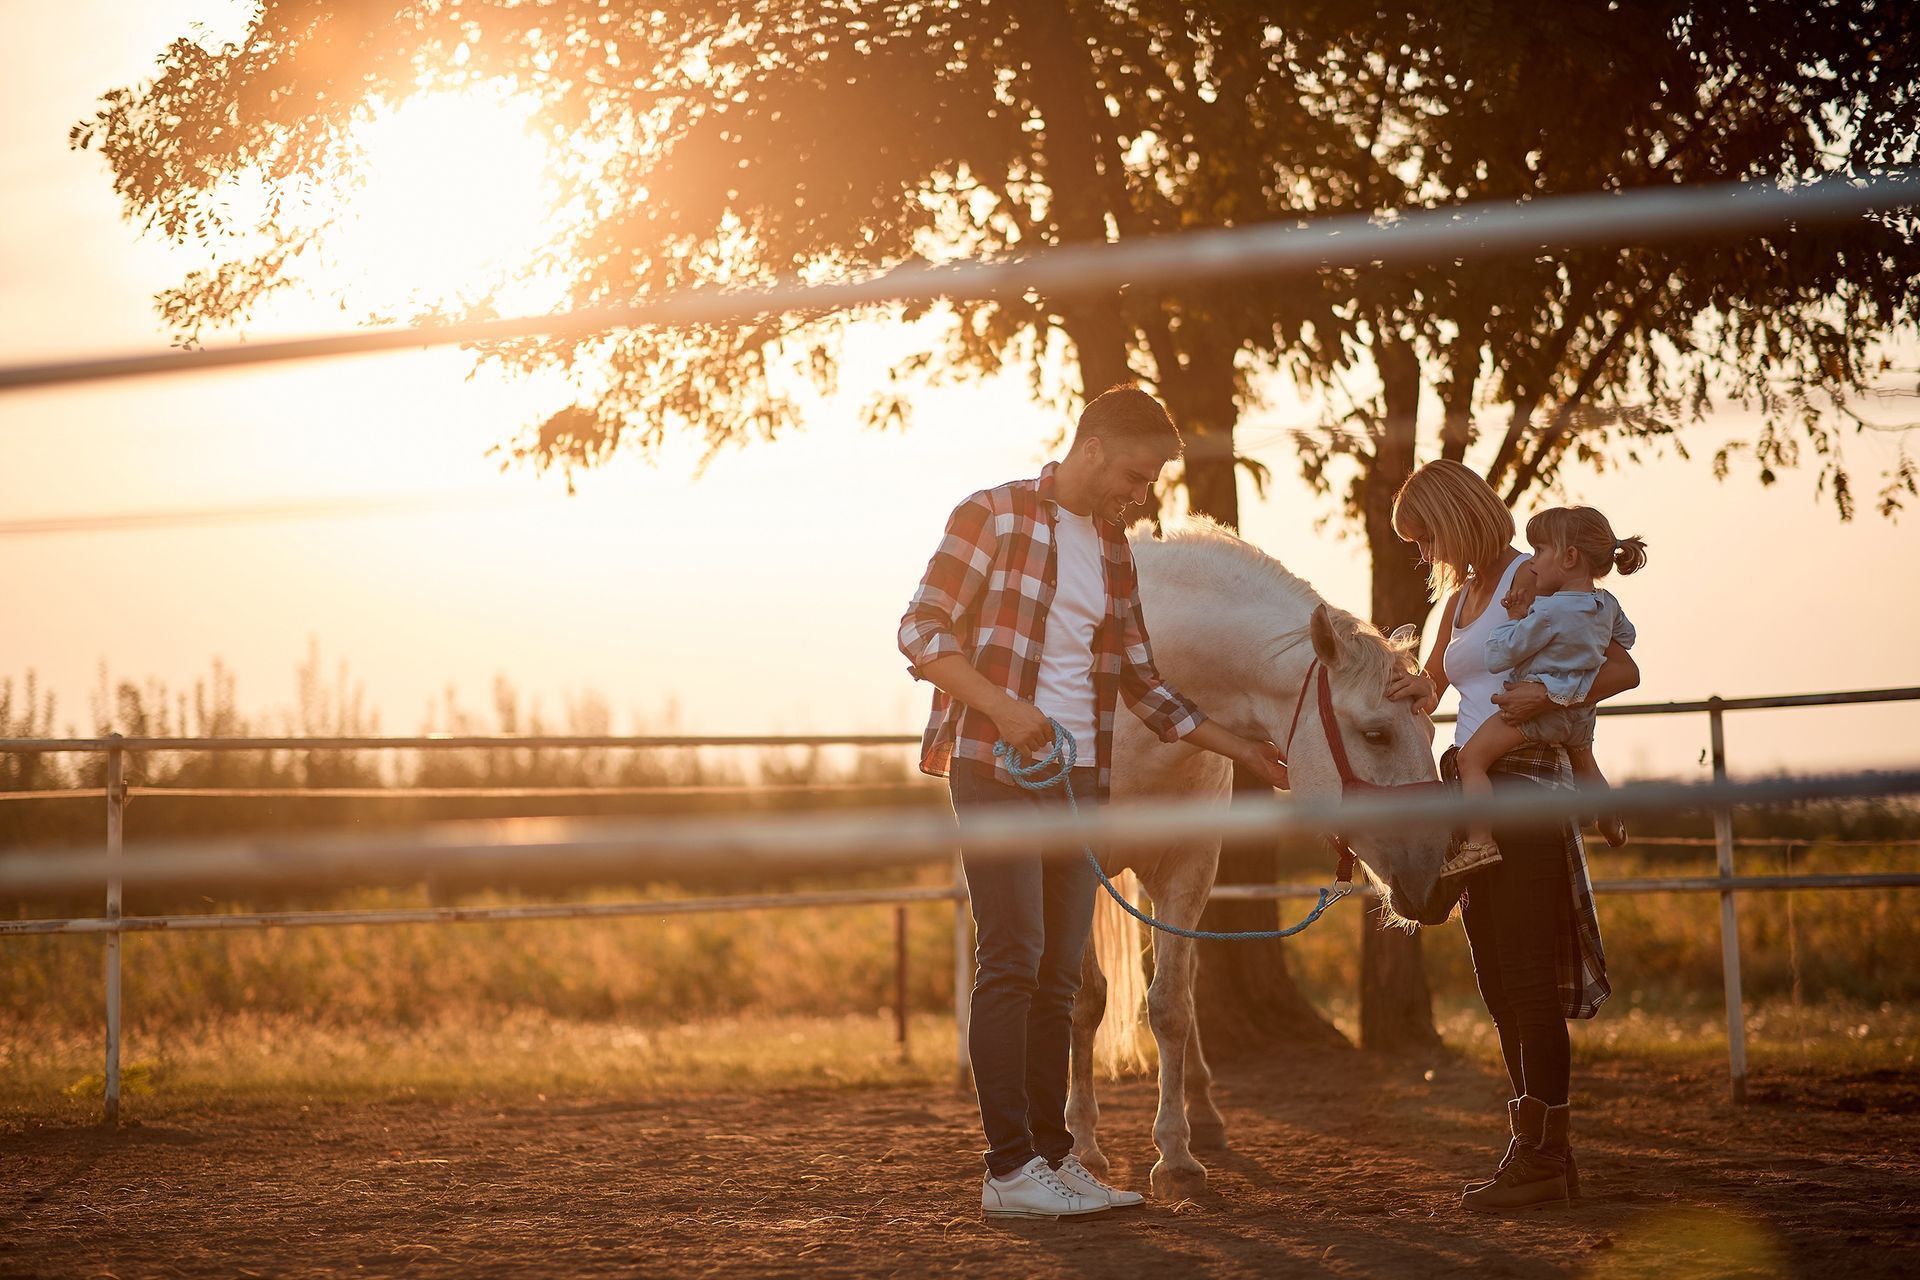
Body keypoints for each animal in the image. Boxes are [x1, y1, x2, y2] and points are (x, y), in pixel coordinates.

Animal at [1063, 516, 1457, 1200]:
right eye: (1376, 734)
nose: (1435, 886)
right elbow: (1087, 1001)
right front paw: (1085, 1147)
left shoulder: (1190, 868)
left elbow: (1170, 1006)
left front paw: (1176, 1153)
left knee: (1183, 985)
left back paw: (1203, 1114)